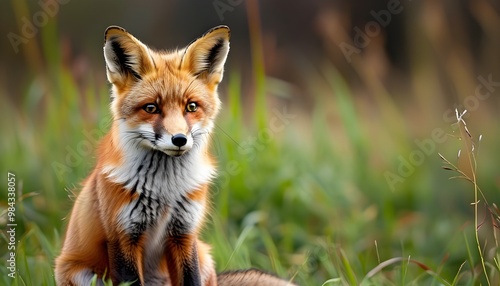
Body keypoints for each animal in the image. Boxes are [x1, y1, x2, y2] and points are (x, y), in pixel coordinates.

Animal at [53, 25, 296, 286]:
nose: (179, 139)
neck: (165, 191)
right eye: (151, 108)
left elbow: (191, 279)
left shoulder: (184, 234)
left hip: (204, 256)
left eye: (191, 106)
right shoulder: (123, 237)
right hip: (80, 274)